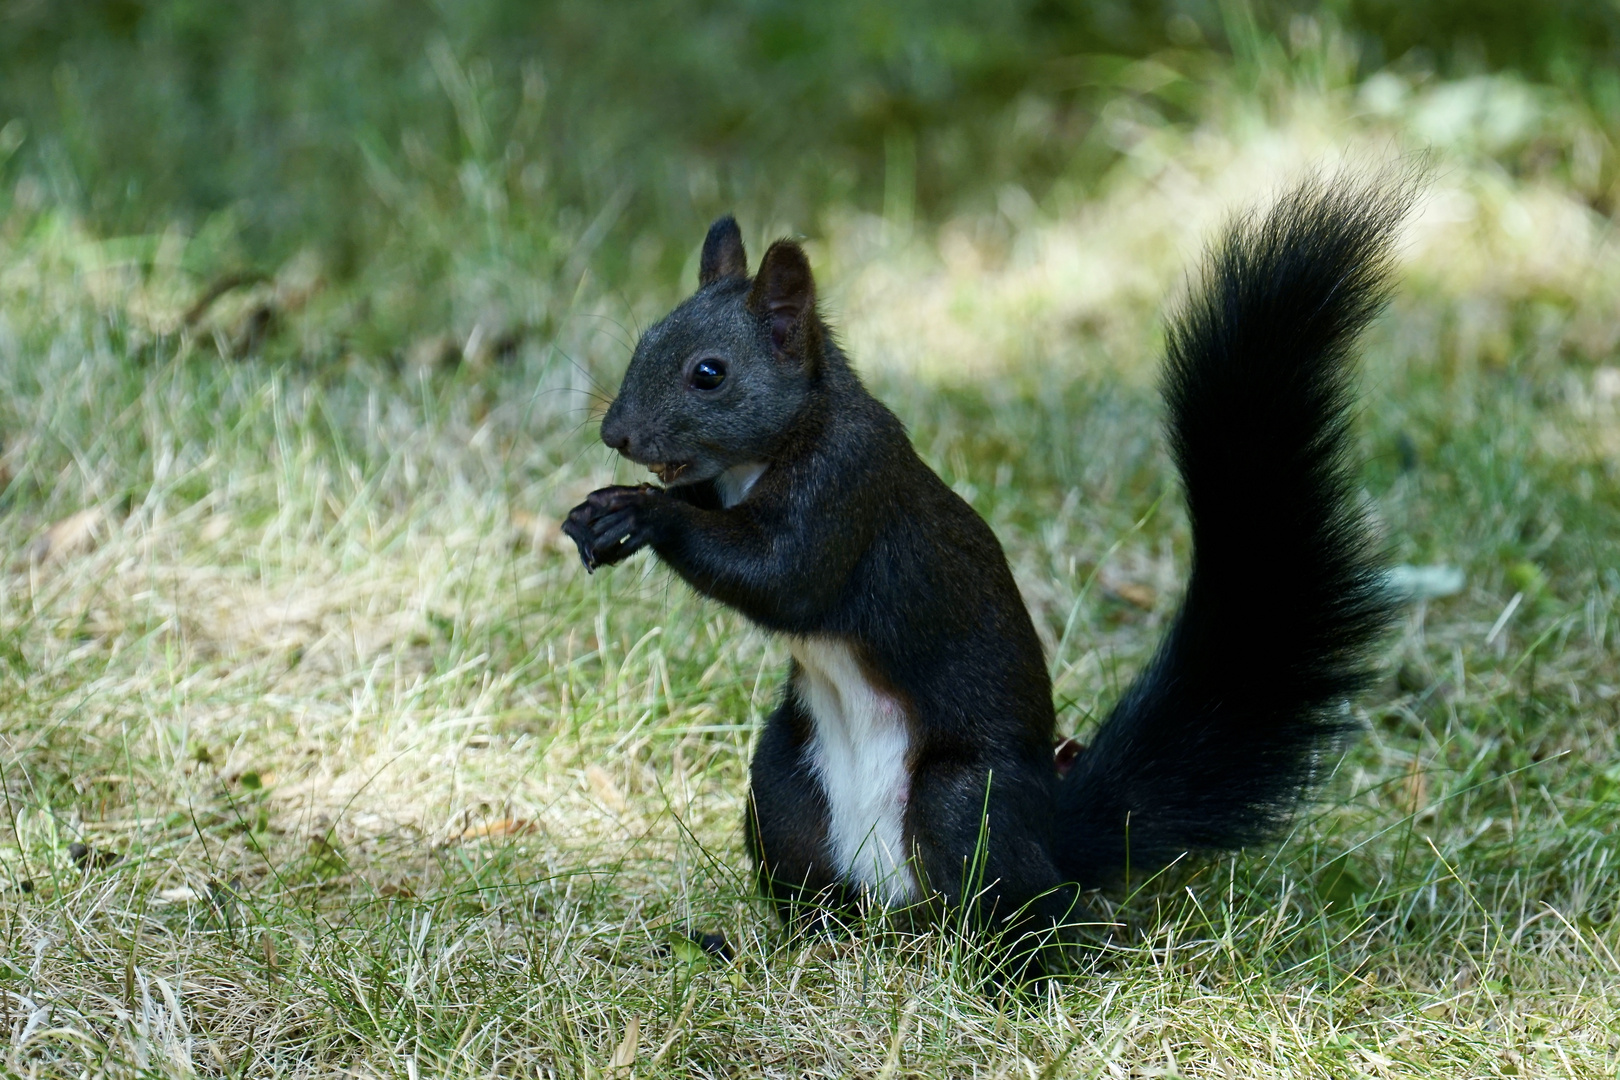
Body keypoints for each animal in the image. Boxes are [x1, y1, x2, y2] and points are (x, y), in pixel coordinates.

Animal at [563, 175, 1412, 965]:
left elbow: (781, 578)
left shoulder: (848, 486)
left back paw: (1015, 976)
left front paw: (647, 514)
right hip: (783, 786)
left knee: (1029, 908)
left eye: (709, 373)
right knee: (818, 891)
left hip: (963, 801)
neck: (762, 457)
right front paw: (599, 515)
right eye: (646, 336)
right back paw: (779, 947)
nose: (615, 433)